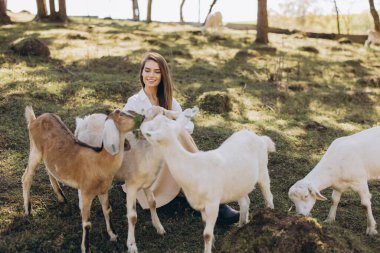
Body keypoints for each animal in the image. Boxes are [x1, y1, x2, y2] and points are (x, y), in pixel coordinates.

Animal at [22, 105, 137, 252]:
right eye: (120, 114)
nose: (139, 117)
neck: (99, 161)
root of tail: (34, 119)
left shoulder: (104, 190)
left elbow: (107, 210)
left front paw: (113, 235)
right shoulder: (85, 192)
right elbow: (87, 223)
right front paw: (85, 248)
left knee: (50, 170)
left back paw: (61, 197)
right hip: (35, 150)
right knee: (27, 177)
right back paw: (28, 210)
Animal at [141, 107, 274, 253]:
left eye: (151, 131)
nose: (141, 126)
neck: (192, 167)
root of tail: (260, 138)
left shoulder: (212, 203)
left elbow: (207, 234)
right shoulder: (201, 205)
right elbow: (205, 226)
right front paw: (213, 243)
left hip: (263, 170)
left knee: (268, 196)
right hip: (239, 185)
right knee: (245, 202)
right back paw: (240, 227)